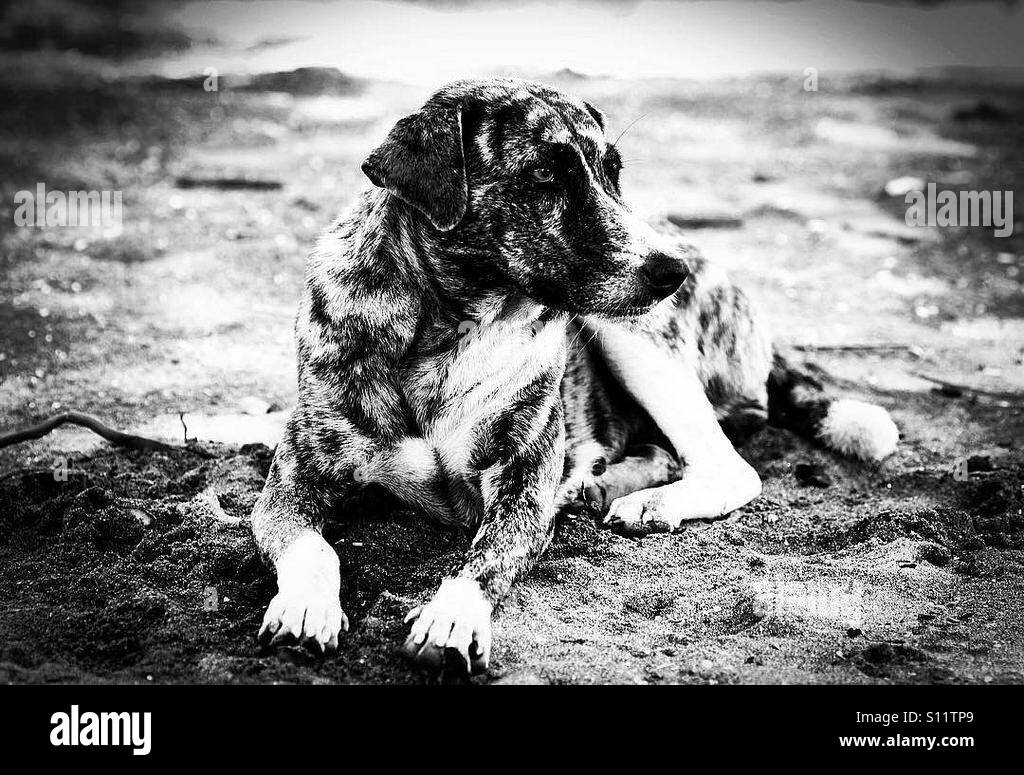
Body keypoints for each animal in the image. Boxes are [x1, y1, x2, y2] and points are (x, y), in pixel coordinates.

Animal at [249, 77, 897, 671]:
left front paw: (453, 614)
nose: (672, 272)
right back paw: (607, 482)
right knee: (664, 450)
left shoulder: (521, 486)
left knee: (730, 465)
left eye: (613, 171)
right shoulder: (291, 481)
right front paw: (306, 605)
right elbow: (312, 546)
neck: (449, 333)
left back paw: (651, 501)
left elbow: (484, 559)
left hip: (632, 337)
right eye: (543, 175)